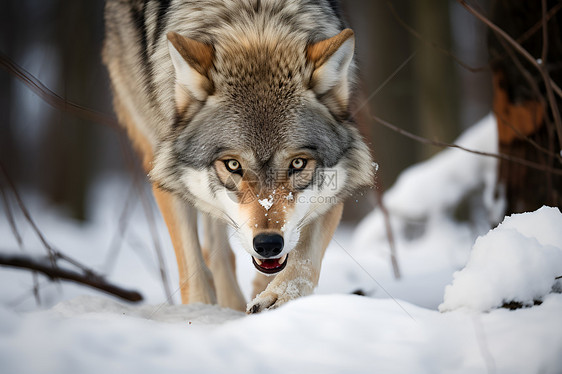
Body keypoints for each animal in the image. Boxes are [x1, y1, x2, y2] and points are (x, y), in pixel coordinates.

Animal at [101, 0, 372, 312]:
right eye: (233, 165)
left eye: (298, 163)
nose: (268, 244)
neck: (255, 19)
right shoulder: (164, 172)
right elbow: (193, 271)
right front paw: (198, 313)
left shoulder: (335, 186)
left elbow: (303, 261)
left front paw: (276, 299)